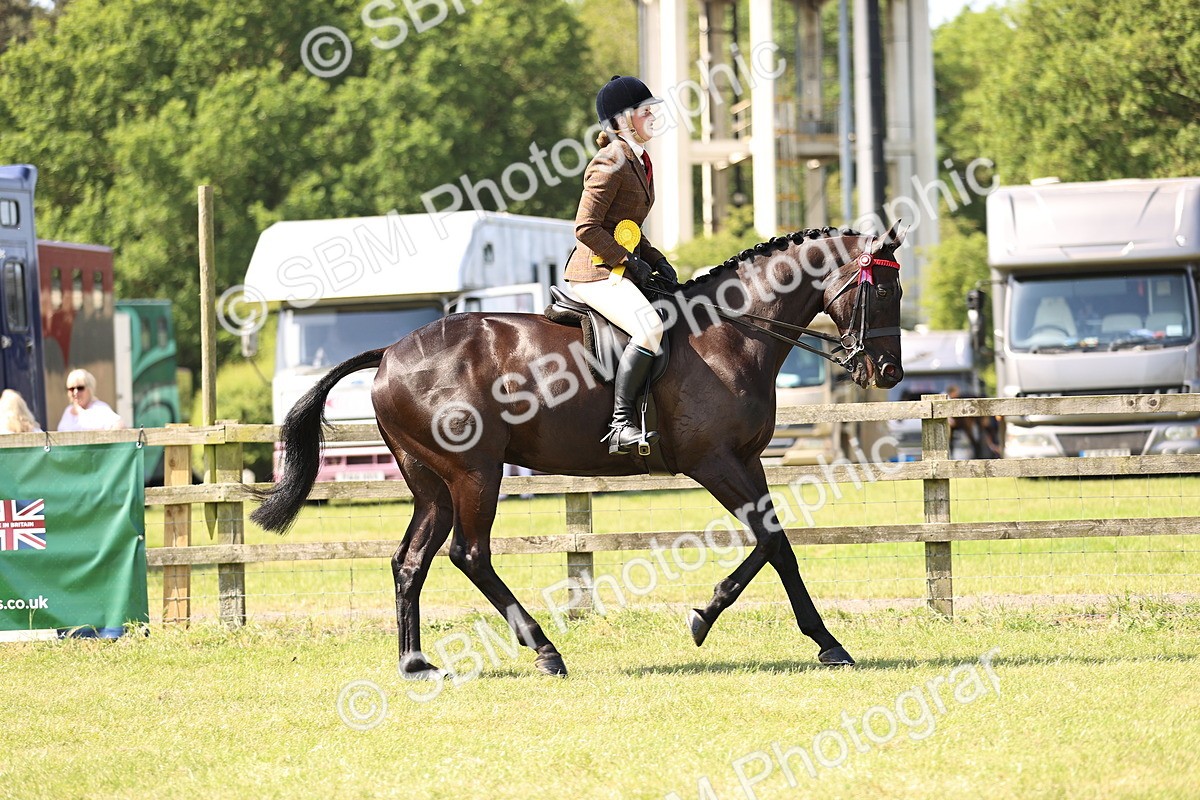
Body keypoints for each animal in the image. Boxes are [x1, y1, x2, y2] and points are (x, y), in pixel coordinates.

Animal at [251, 222, 906, 677]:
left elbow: (780, 545)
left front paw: (818, 641)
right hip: (475, 473)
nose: (889, 373)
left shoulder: (746, 461)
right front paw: (710, 618)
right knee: (470, 554)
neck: (730, 332)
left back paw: (415, 664)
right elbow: (770, 542)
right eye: (884, 290)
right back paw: (544, 651)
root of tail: (388, 352)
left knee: (411, 561)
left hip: (430, 483)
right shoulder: (714, 463)